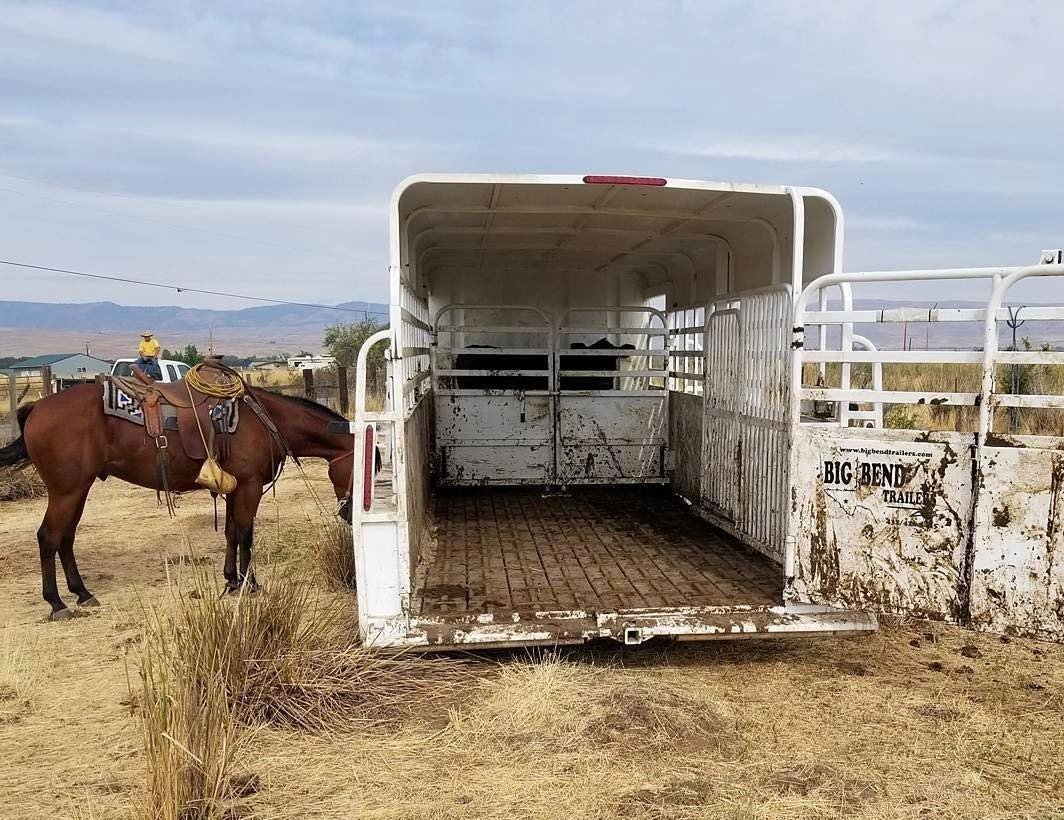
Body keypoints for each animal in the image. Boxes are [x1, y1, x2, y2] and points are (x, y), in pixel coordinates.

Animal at [0, 381, 357, 620]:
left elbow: (231, 533)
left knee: (66, 538)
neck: (265, 419)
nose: (351, 515)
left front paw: (231, 581)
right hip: (67, 490)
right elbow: (246, 534)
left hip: (77, 490)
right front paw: (250, 584)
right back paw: (57, 603)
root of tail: (37, 408)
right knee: (49, 537)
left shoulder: (235, 489)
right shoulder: (250, 487)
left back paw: (82, 593)